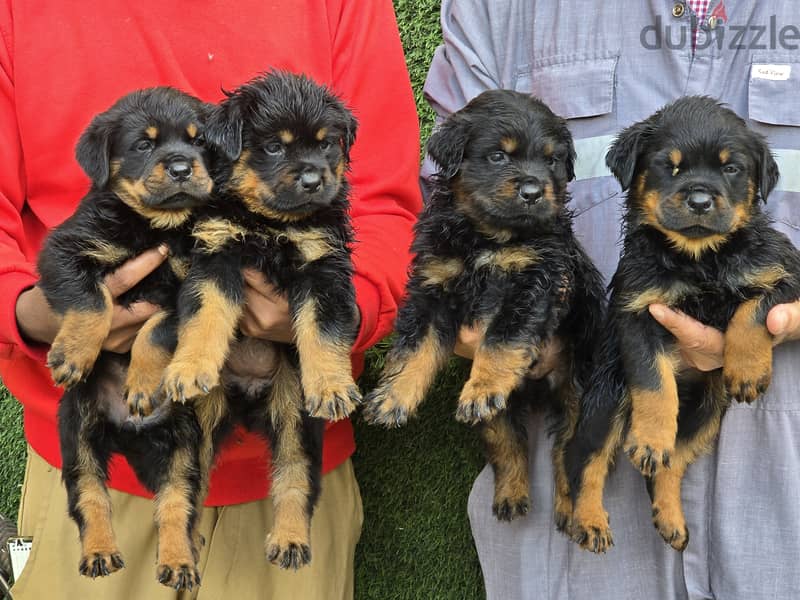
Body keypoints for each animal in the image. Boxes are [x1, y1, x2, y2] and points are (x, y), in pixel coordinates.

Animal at [36, 86, 220, 588]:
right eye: (143, 144)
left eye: (200, 142)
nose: (182, 168)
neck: (154, 225)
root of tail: (129, 433)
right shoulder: (65, 249)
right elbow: (92, 301)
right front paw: (73, 355)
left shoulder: (194, 288)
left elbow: (156, 330)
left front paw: (140, 383)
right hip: (77, 430)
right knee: (90, 495)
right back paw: (101, 552)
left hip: (184, 446)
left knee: (175, 505)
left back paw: (178, 561)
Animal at [159, 70, 360, 568]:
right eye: (272, 148)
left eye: (327, 145)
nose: (314, 179)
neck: (272, 224)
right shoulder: (216, 252)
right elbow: (206, 317)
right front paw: (189, 368)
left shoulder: (323, 265)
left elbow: (324, 332)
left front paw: (333, 387)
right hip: (198, 425)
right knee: (186, 486)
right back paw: (180, 553)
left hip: (294, 415)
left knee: (292, 475)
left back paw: (289, 541)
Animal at [364, 90, 608, 524]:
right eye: (498, 156)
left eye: (552, 160)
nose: (534, 192)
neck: (487, 238)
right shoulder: (433, 287)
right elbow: (414, 348)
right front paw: (393, 396)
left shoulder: (535, 281)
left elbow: (501, 339)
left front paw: (484, 385)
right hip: (502, 418)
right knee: (506, 443)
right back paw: (511, 494)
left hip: (579, 393)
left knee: (567, 455)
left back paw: (572, 511)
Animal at [564, 97, 800, 552]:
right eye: (667, 166)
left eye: (731, 168)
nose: (700, 200)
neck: (699, 259)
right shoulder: (637, 310)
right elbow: (655, 384)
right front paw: (650, 439)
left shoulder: (786, 273)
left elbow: (754, 308)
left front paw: (747, 369)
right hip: (607, 397)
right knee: (585, 461)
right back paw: (588, 520)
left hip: (706, 414)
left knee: (670, 466)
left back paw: (670, 517)